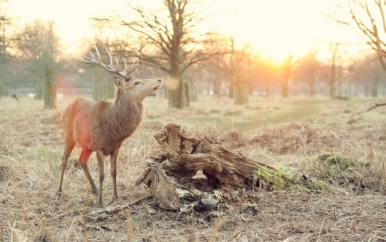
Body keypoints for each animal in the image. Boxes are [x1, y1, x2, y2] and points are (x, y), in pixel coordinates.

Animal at [56, 46, 162, 207]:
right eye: (137, 82)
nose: (159, 79)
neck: (112, 130)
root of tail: (68, 105)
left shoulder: (116, 147)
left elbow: (113, 171)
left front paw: (115, 197)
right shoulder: (99, 146)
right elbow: (102, 174)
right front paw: (100, 202)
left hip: (87, 144)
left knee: (82, 160)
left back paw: (94, 190)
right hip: (68, 134)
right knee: (64, 161)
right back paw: (59, 192)